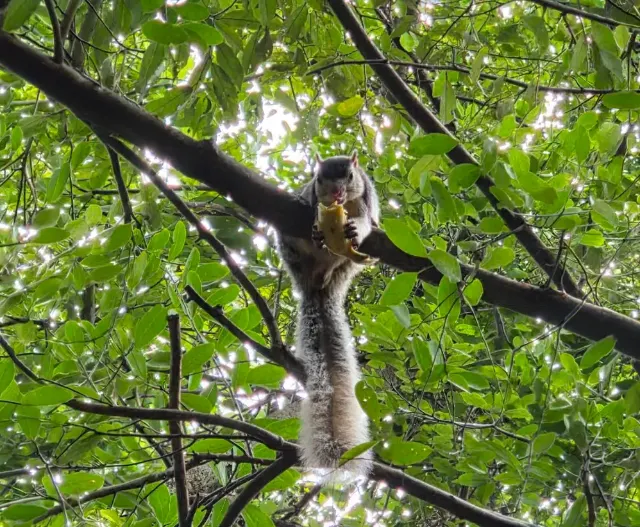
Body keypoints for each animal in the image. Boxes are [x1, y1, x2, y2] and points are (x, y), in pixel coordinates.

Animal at [277, 151, 380, 479]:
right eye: (319, 179)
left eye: (349, 176)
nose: (335, 194)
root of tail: (318, 286)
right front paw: (314, 228)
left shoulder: (366, 201)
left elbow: (366, 221)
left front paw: (356, 227)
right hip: (291, 250)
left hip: (348, 265)